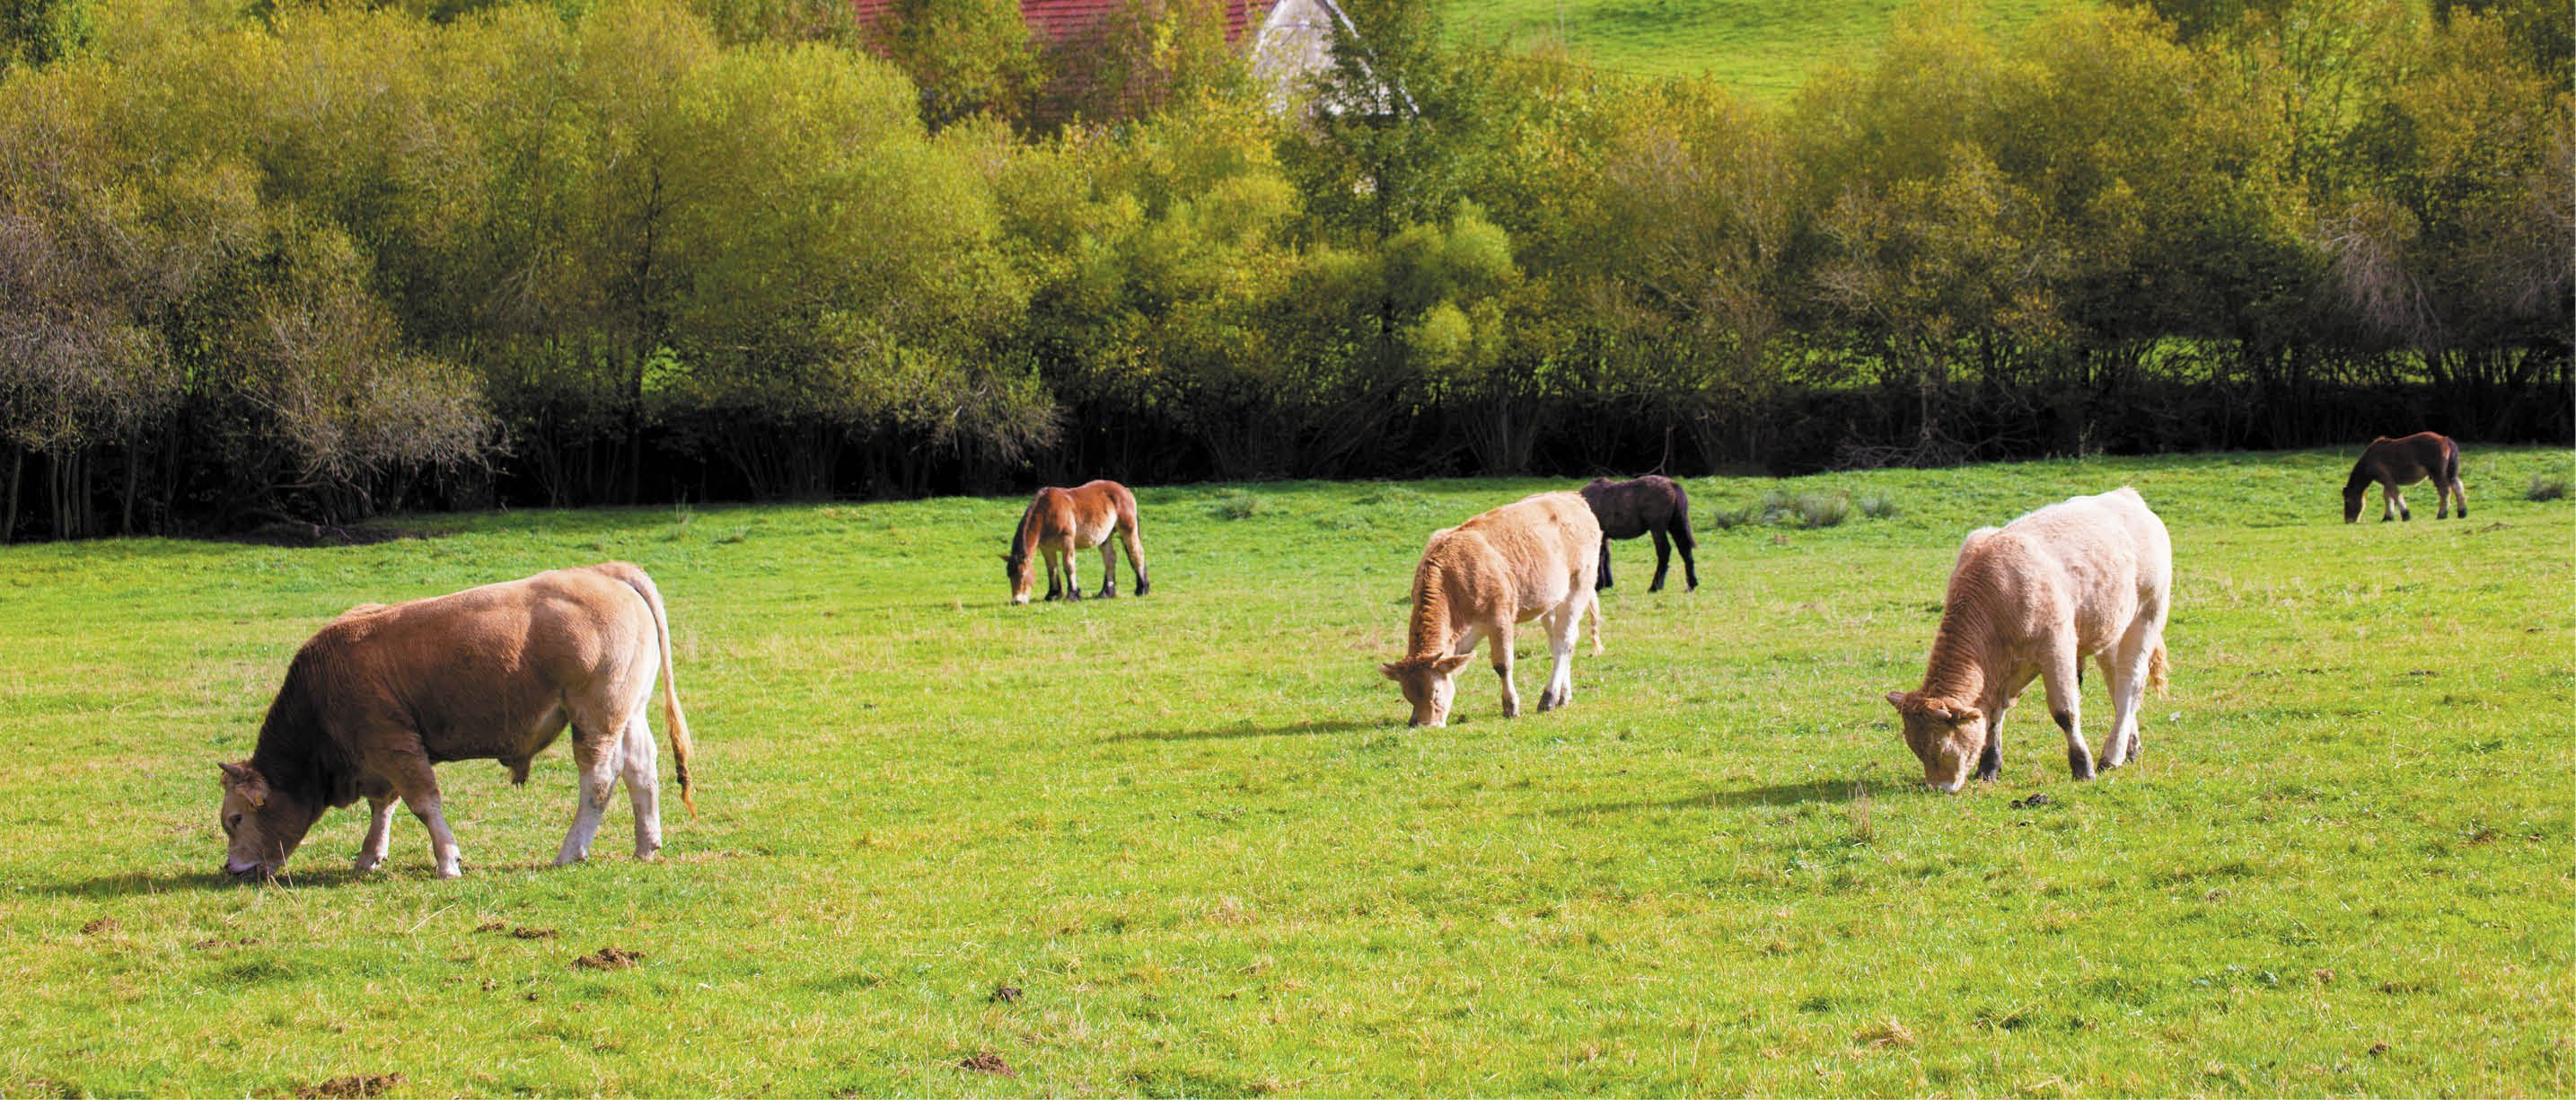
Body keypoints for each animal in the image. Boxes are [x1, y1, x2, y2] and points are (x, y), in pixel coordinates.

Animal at [216, 562, 696, 880]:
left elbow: (424, 804)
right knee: (640, 770)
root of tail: (604, 571)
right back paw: (646, 845)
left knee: (598, 779)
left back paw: (570, 851)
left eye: (235, 819)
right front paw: (370, 856)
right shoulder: (382, 755)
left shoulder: (395, 747)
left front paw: (448, 861)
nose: (232, 867)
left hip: (594, 716)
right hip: (628, 712)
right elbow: (383, 806)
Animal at [1381, 492, 1603, 727]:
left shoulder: (1500, 617)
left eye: (1435, 692)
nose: (1425, 726)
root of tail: (1571, 496)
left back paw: (1549, 698)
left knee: (1564, 642)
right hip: (1551, 601)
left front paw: (1511, 707)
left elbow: (1502, 664)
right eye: (1407, 695)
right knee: (1558, 643)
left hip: (1579, 585)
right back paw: (1564, 696)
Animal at [1578, 475, 1697, 592]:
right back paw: (1691, 585)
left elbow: (1599, 557)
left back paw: (1654, 586)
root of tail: (1672, 484)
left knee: (1665, 551)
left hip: (1657, 527)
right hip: (1675, 525)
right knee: (1685, 549)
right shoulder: (1605, 536)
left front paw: (1599, 585)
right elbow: (1606, 556)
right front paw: (1607, 583)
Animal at [1884, 488, 2171, 791]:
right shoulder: (2004, 668)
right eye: (1915, 749)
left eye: (1941, 749)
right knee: (2115, 681)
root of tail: (2125, 495)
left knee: (2131, 682)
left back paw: (2112, 755)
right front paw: (1989, 766)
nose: (1940, 788)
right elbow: (1994, 714)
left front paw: (2083, 767)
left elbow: (2065, 712)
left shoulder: (2057, 648)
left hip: (2147, 615)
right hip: (2111, 631)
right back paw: (2129, 747)